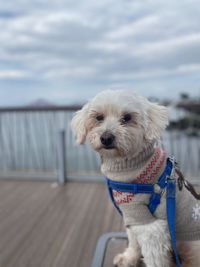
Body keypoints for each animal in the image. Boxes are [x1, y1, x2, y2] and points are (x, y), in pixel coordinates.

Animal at [71, 90, 199, 267]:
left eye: (127, 118)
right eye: (99, 117)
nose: (106, 137)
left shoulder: (150, 227)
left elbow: (154, 259)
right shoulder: (132, 216)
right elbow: (133, 241)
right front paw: (129, 258)